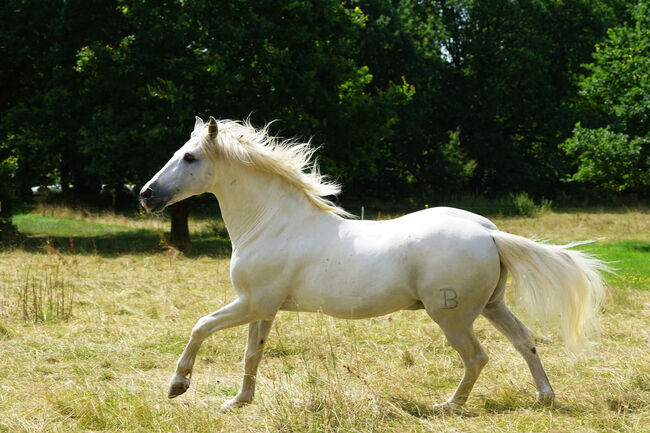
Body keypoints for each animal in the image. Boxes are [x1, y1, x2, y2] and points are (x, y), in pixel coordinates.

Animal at [139, 117, 604, 412]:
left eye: (190, 157)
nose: (146, 195)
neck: (271, 223)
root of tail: (489, 232)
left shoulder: (251, 304)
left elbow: (200, 326)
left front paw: (177, 386)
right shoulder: (263, 308)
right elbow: (252, 354)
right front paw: (238, 402)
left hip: (452, 317)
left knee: (477, 357)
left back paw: (448, 405)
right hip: (492, 306)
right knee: (525, 341)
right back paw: (544, 398)